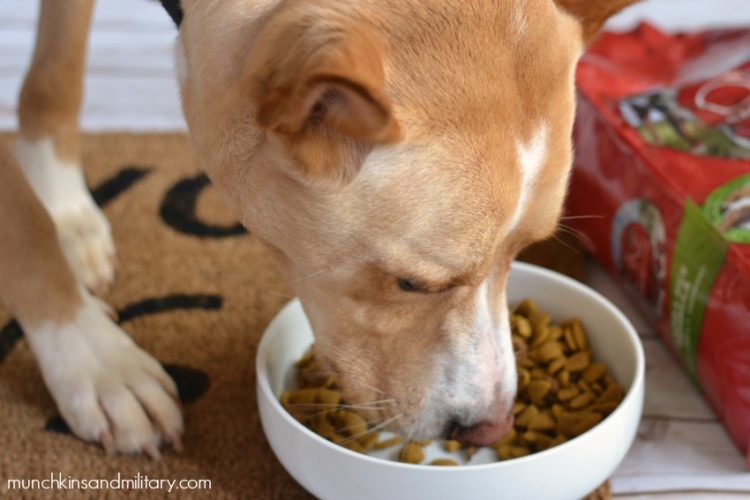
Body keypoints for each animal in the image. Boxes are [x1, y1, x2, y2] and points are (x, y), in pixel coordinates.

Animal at [0, 0, 636, 458]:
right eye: (413, 285)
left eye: (522, 256)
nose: (490, 429)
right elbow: (22, 228)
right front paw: (95, 360)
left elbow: (56, 73)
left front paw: (61, 203)